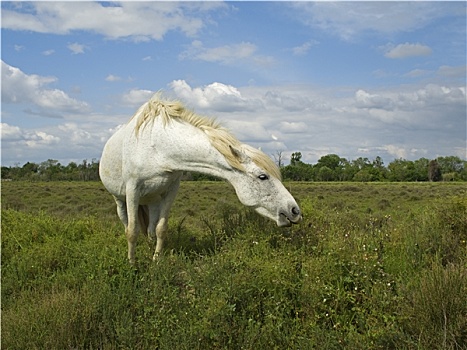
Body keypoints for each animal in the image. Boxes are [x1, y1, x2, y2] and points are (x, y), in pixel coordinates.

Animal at [100, 94, 302, 262]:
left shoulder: (170, 192)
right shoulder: (133, 190)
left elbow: (161, 229)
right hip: (121, 201)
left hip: (152, 201)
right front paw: (132, 265)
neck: (157, 147)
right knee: (127, 224)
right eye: (262, 176)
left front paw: (156, 261)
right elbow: (132, 231)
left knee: (150, 229)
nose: (294, 211)